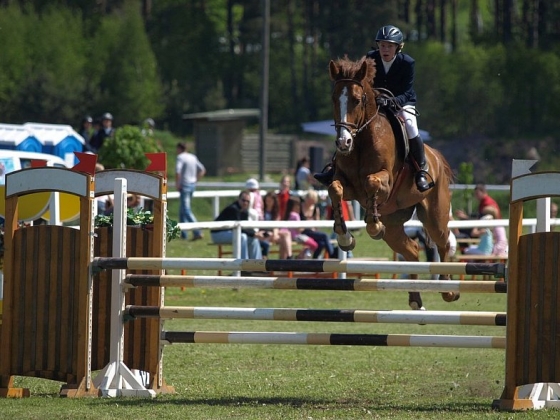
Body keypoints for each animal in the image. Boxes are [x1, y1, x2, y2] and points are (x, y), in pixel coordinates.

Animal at [328, 56, 456, 308]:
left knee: (443, 242)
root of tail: (437, 158)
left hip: (434, 216)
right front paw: (345, 237)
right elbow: (334, 188)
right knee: (412, 251)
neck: (361, 140)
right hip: (394, 225)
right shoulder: (348, 186)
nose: (343, 143)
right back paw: (416, 299)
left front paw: (372, 225)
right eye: (334, 99)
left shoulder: (384, 182)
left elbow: (372, 183)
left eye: (357, 100)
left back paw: (447, 290)